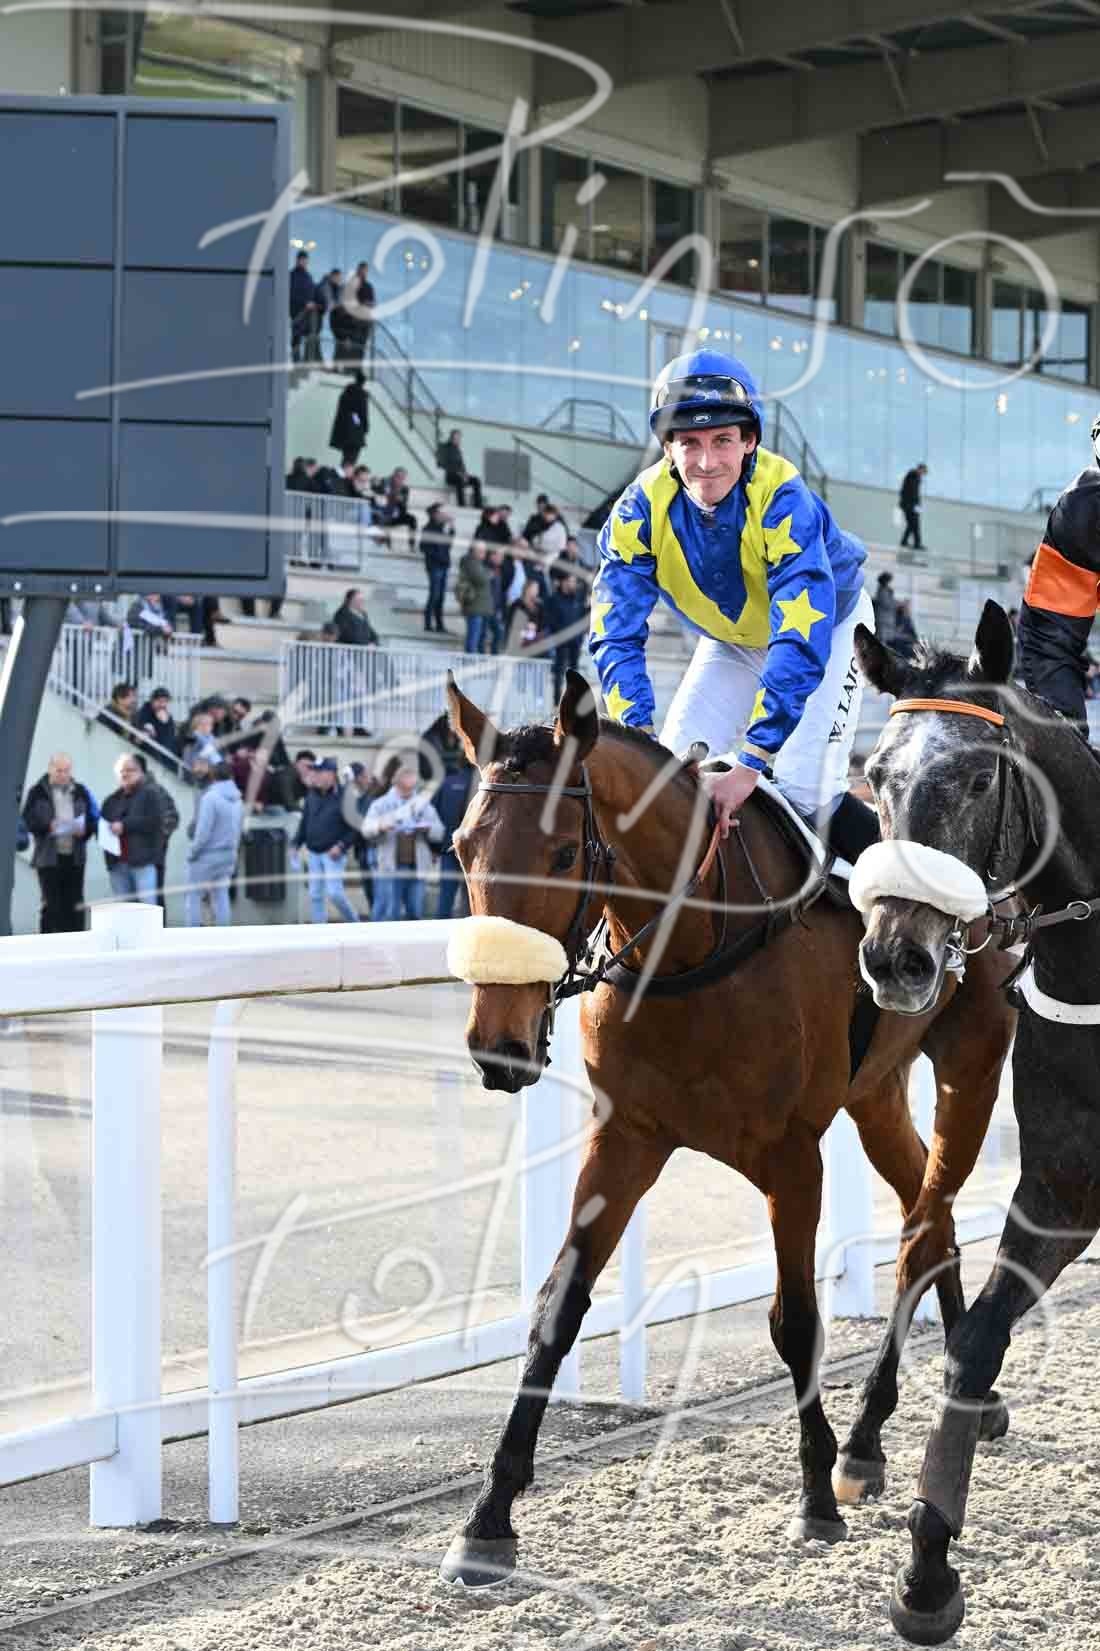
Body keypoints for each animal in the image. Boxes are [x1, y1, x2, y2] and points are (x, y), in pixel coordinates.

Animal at [437, 670, 1016, 1589]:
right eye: (462, 846)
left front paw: (813, 1494)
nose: (499, 1043)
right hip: (878, 1091)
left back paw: (874, 1435)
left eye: (563, 854)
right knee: (933, 1212)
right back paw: (924, 1411)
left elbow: (796, 1320)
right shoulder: (627, 1136)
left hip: (973, 1058)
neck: (694, 943)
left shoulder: (793, 1155)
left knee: (928, 1220)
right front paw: (489, 1516)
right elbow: (558, 1307)